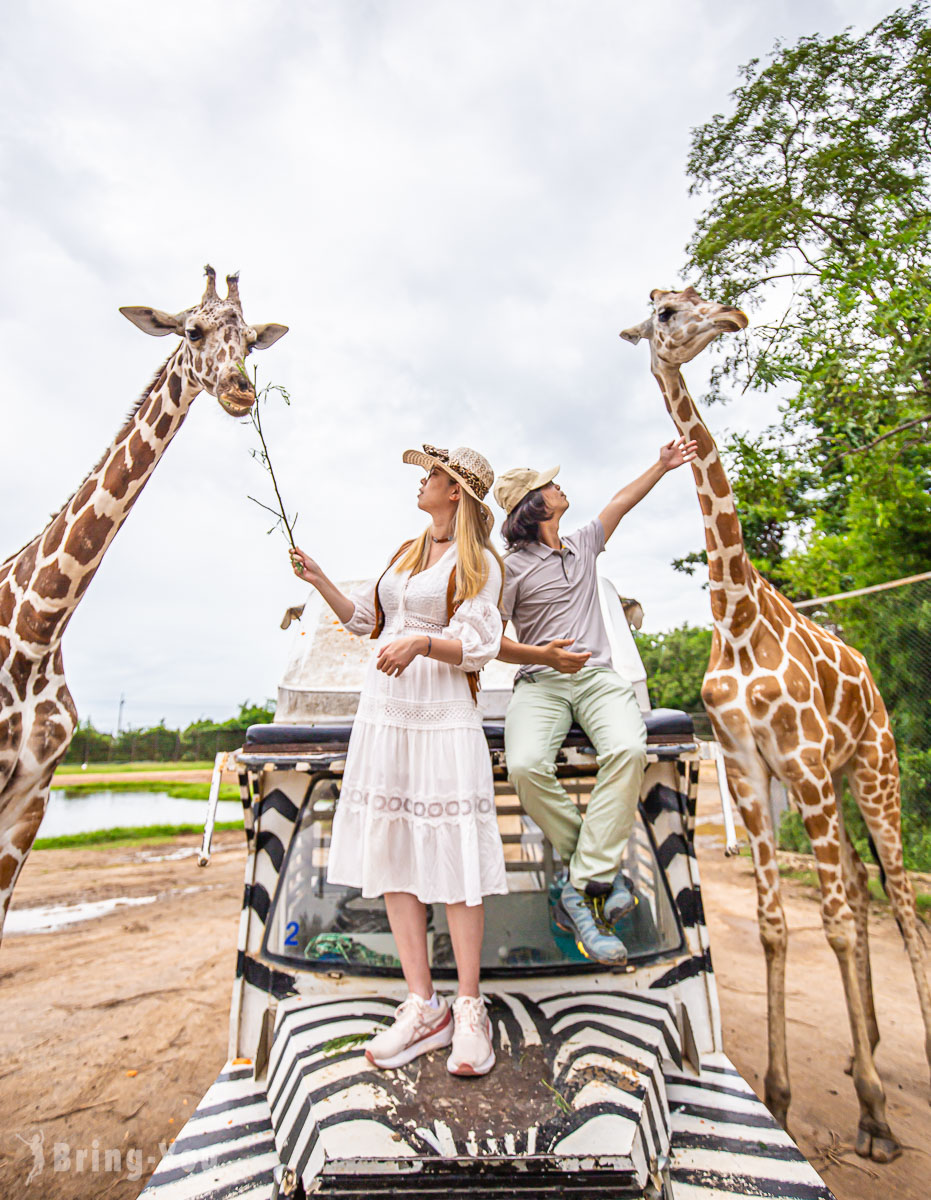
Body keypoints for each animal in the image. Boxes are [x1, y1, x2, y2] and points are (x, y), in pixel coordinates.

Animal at [623, 285, 931, 1156]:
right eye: (664, 312)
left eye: (693, 294)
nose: (730, 315)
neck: (733, 614)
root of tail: (872, 682)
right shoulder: (747, 767)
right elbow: (772, 924)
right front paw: (787, 1097)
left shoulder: (796, 759)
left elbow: (832, 922)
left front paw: (873, 1115)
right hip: (835, 779)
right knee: (859, 885)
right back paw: (871, 1051)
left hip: (870, 772)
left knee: (898, 904)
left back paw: (897, 1063)